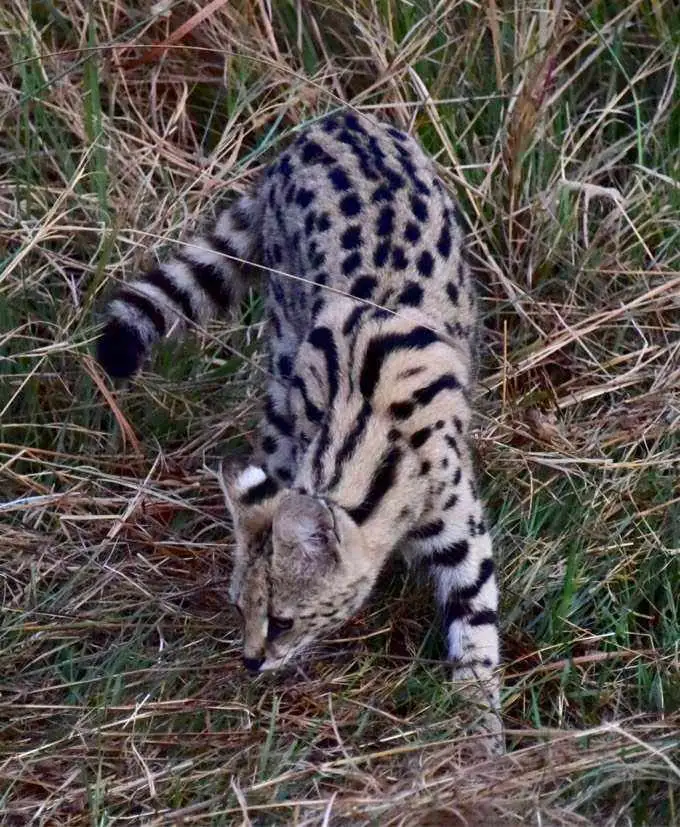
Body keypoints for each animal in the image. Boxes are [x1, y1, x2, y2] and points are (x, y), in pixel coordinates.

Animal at [99, 108, 504, 744]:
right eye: (239, 608)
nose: (249, 661)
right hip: (282, 338)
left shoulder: (460, 521)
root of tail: (334, 119)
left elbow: (476, 622)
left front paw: (479, 728)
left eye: (283, 620)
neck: (368, 451)